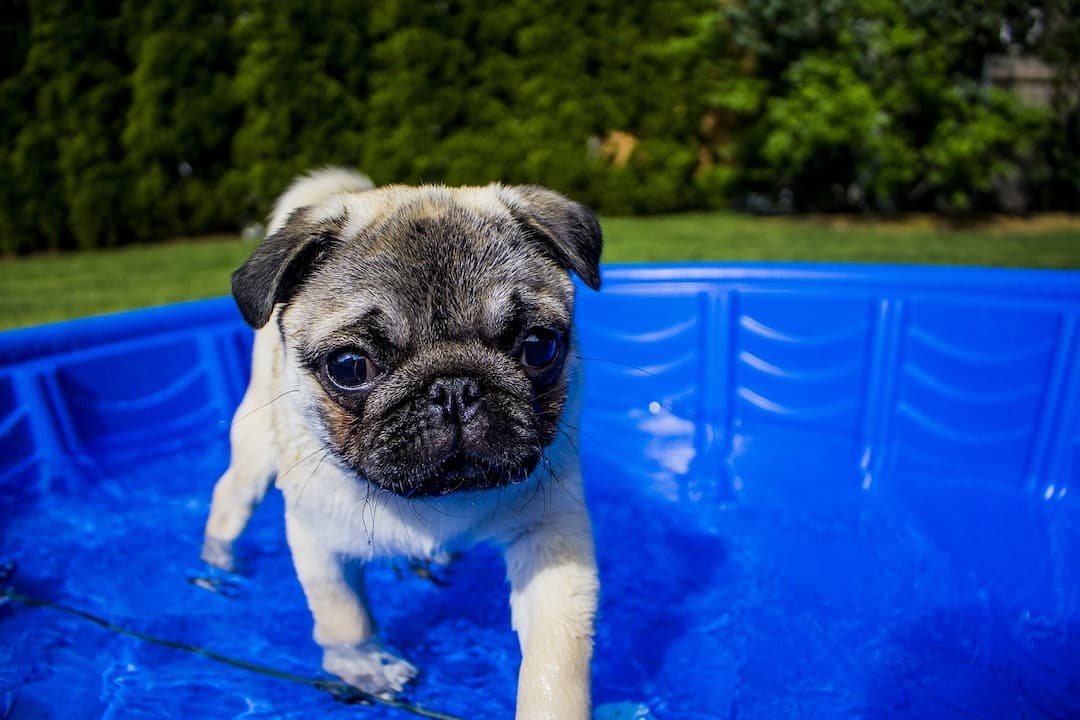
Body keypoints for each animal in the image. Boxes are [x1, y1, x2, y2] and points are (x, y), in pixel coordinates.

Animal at [201, 166, 604, 716]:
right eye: (350, 367)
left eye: (539, 347)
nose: (453, 387)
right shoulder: (318, 540)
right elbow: (344, 616)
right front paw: (364, 665)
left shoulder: (552, 539)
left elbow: (556, 658)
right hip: (256, 452)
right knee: (230, 499)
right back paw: (216, 563)